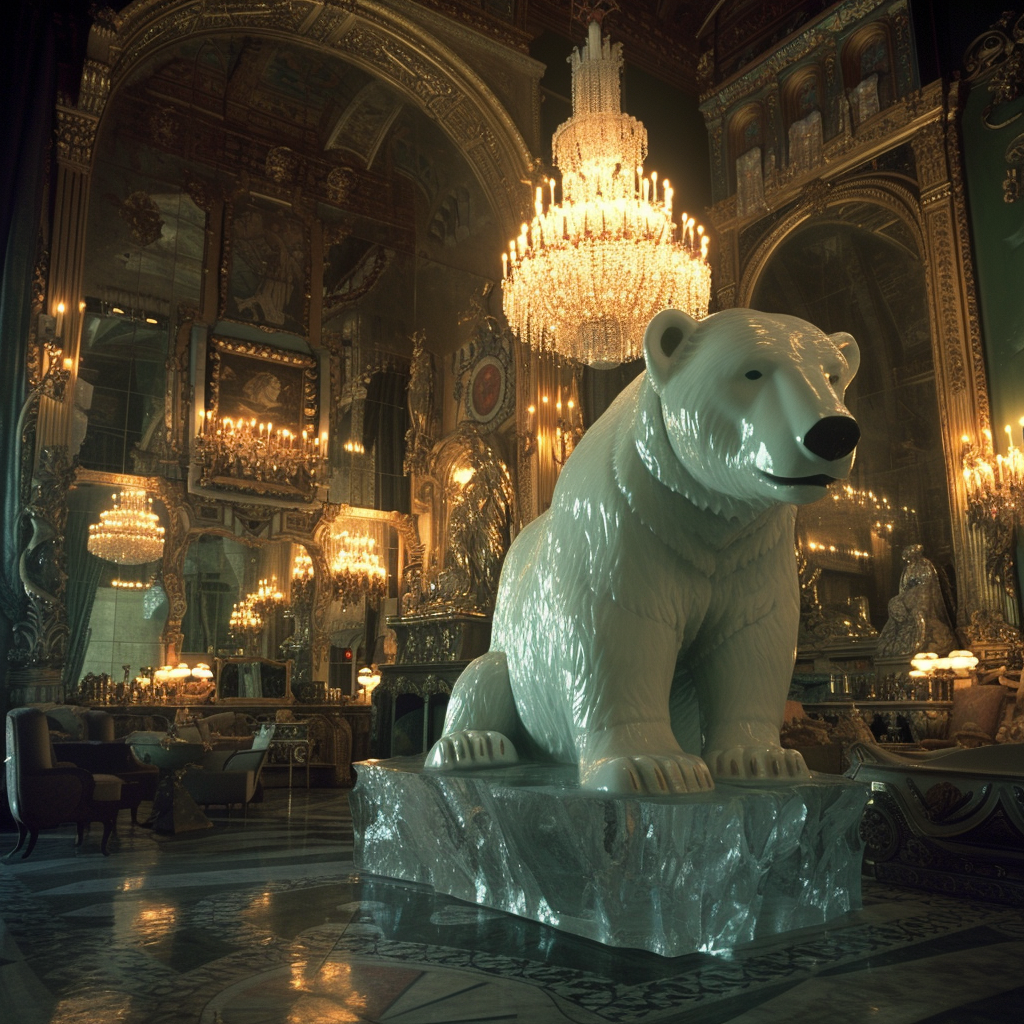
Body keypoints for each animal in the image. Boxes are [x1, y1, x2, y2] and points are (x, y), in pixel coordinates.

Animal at [423, 307, 864, 794]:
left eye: (833, 376)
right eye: (752, 371)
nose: (835, 432)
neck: (697, 510)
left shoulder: (753, 546)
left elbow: (752, 636)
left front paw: (765, 759)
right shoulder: (624, 523)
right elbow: (622, 626)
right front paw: (655, 766)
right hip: (515, 650)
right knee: (485, 676)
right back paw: (471, 745)